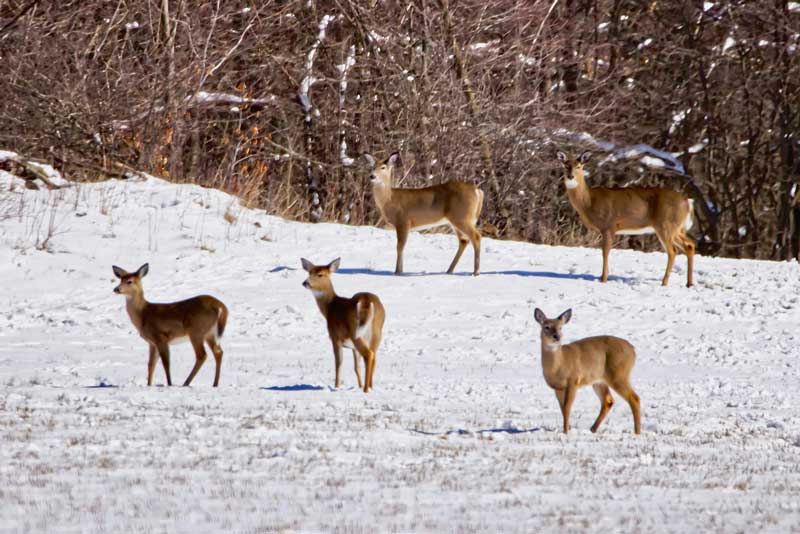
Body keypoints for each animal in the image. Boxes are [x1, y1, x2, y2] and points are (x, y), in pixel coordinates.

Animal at [301, 257, 385, 393]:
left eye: (320, 274)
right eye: (309, 272)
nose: (305, 283)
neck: (330, 307)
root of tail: (366, 302)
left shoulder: (335, 337)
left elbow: (338, 363)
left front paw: (336, 386)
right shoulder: (353, 348)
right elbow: (356, 367)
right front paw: (359, 385)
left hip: (355, 331)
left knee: (368, 355)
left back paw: (366, 390)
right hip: (377, 331)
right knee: (373, 356)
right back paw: (370, 387)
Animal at [556, 150, 695, 287]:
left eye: (579, 166)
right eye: (566, 166)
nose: (570, 176)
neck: (588, 202)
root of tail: (687, 202)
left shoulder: (609, 224)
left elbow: (605, 251)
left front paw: (603, 279)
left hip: (665, 224)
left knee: (673, 251)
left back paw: (664, 282)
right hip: (676, 227)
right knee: (689, 245)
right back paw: (689, 283)